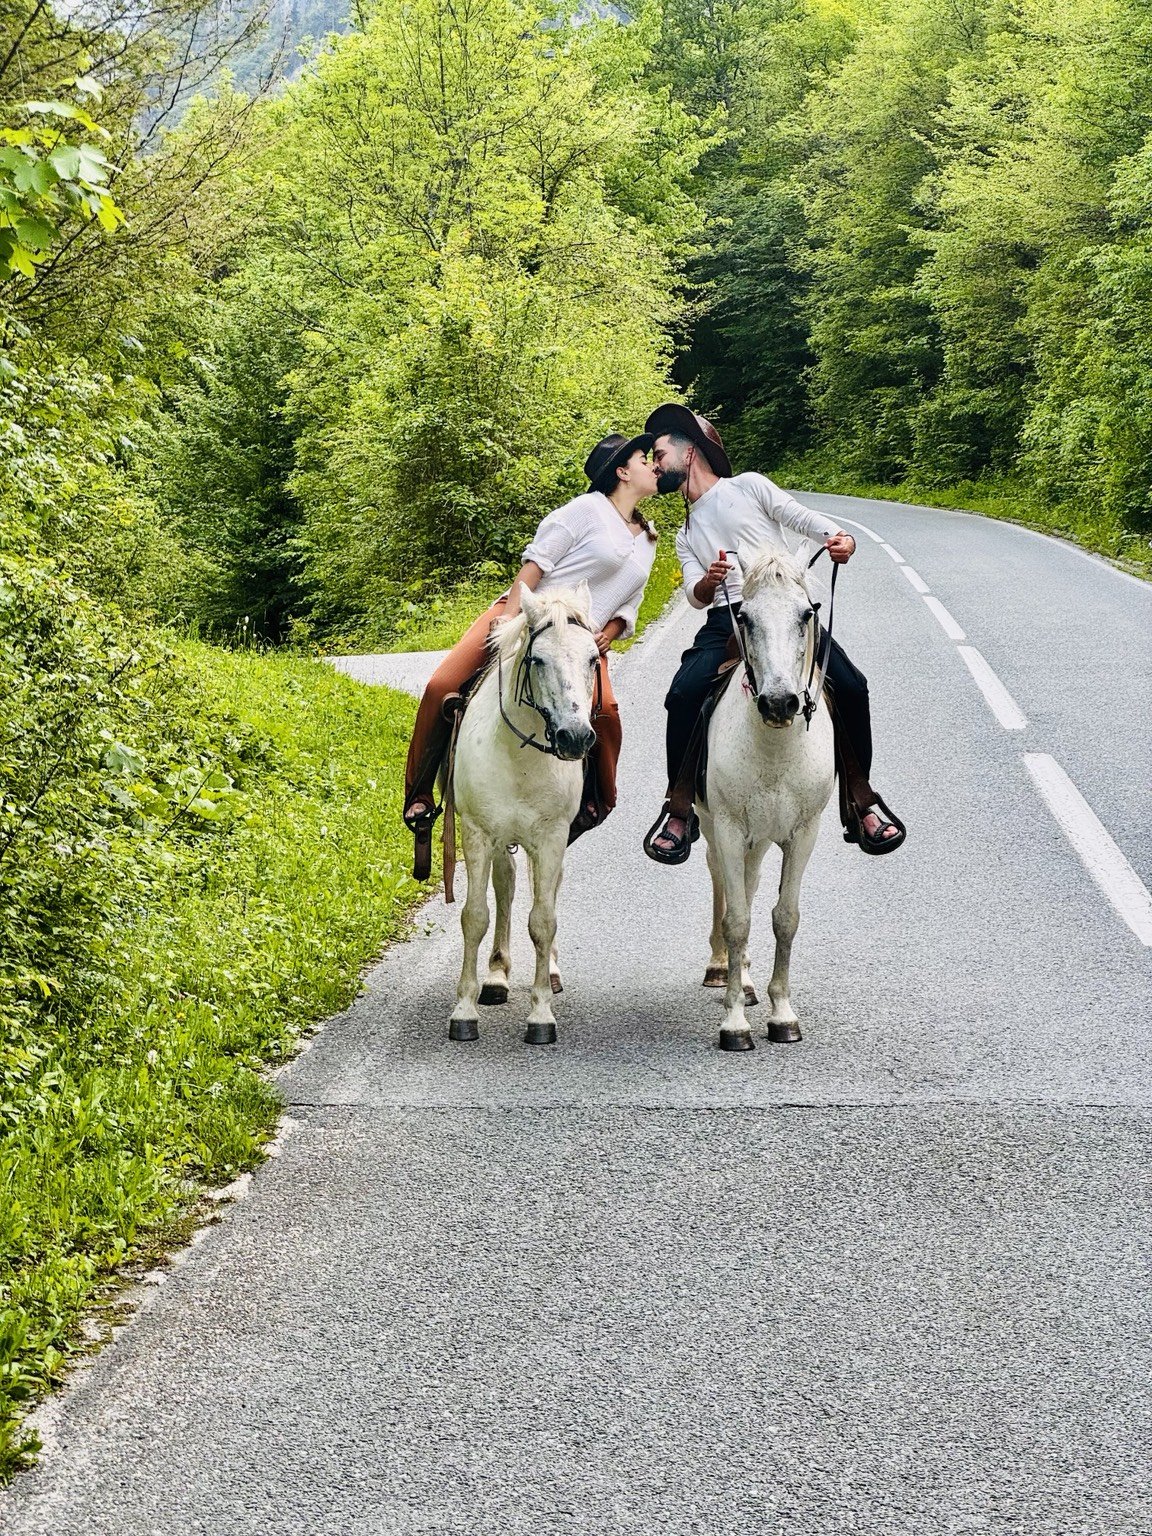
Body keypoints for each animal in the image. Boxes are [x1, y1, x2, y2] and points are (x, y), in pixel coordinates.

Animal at [447, 582, 601, 1046]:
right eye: (538, 660)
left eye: (593, 658)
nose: (574, 737)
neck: (520, 757)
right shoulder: (478, 834)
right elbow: (475, 916)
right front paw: (464, 1011)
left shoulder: (550, 839)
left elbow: (543, 920)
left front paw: (541, 1015)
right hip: (501, 840)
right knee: (506, 887)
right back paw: (496, 977)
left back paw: (547, 973)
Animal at [698, 544, 836, 1052]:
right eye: (744, 616)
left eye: (807, 614)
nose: (780, 703)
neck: (774, 749)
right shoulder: (730, 828)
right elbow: (737, 919)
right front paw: (735, 1022)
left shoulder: (804, 833)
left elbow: (785, 917)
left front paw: (782, 1014)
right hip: (716, 830)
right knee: (724, 883)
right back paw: (724, 969)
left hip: (758, 842)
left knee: (752, 885)